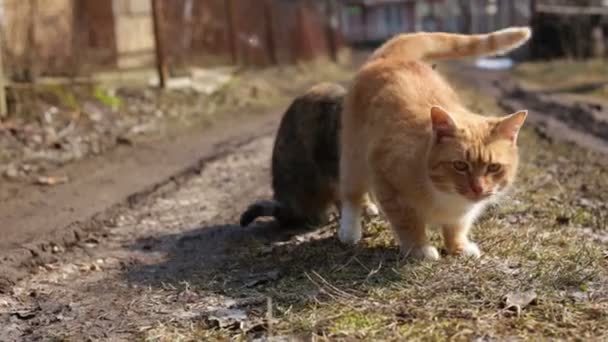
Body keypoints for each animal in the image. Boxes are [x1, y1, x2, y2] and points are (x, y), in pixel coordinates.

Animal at [340, 28, 536, 260]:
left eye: (493, 167)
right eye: (460, 165)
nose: (478, 188)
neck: (447, 195)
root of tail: (395, 57)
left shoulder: (462, 214)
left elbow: (457, 225)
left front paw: (458, 246)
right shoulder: (388, 183)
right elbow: (407, 222)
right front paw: (419, 248)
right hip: (354, 155)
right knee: (352, 194)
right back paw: (349, 230)